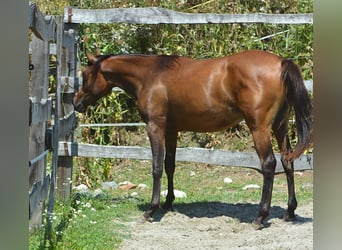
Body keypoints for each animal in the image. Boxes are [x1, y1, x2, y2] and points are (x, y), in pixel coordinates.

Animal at [74, 49, 312, 229]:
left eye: (85, 75)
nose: (76, 103)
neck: (151, 75)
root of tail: (281, 62)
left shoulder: (155, 128)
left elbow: (156, 168)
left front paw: (151, 210)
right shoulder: (172, 130)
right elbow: (170, 165)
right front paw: (168, 202)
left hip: (259, 128)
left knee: (269, 164)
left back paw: (260, 217)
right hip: (280, 127)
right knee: (287, 161)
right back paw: (290, 211)